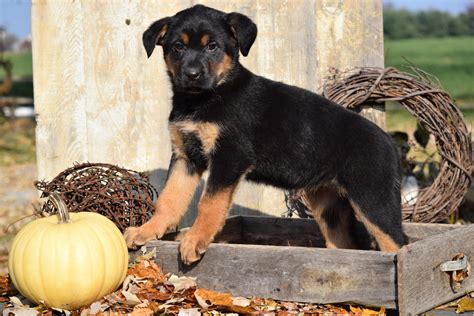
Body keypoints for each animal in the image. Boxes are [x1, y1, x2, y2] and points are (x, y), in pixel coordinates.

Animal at [124, 4, 410, 264]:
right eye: (178, 47)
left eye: (212, 46)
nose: (191, 75)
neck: (203, 100)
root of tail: (389, 142)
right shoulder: (186, 157)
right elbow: (169, 199)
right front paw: (147, 230)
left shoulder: (229, 158)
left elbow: (209, 202)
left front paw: (195, 239)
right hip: (328, 203)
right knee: (344, 242)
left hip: (373, 198)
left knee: (399, 242)